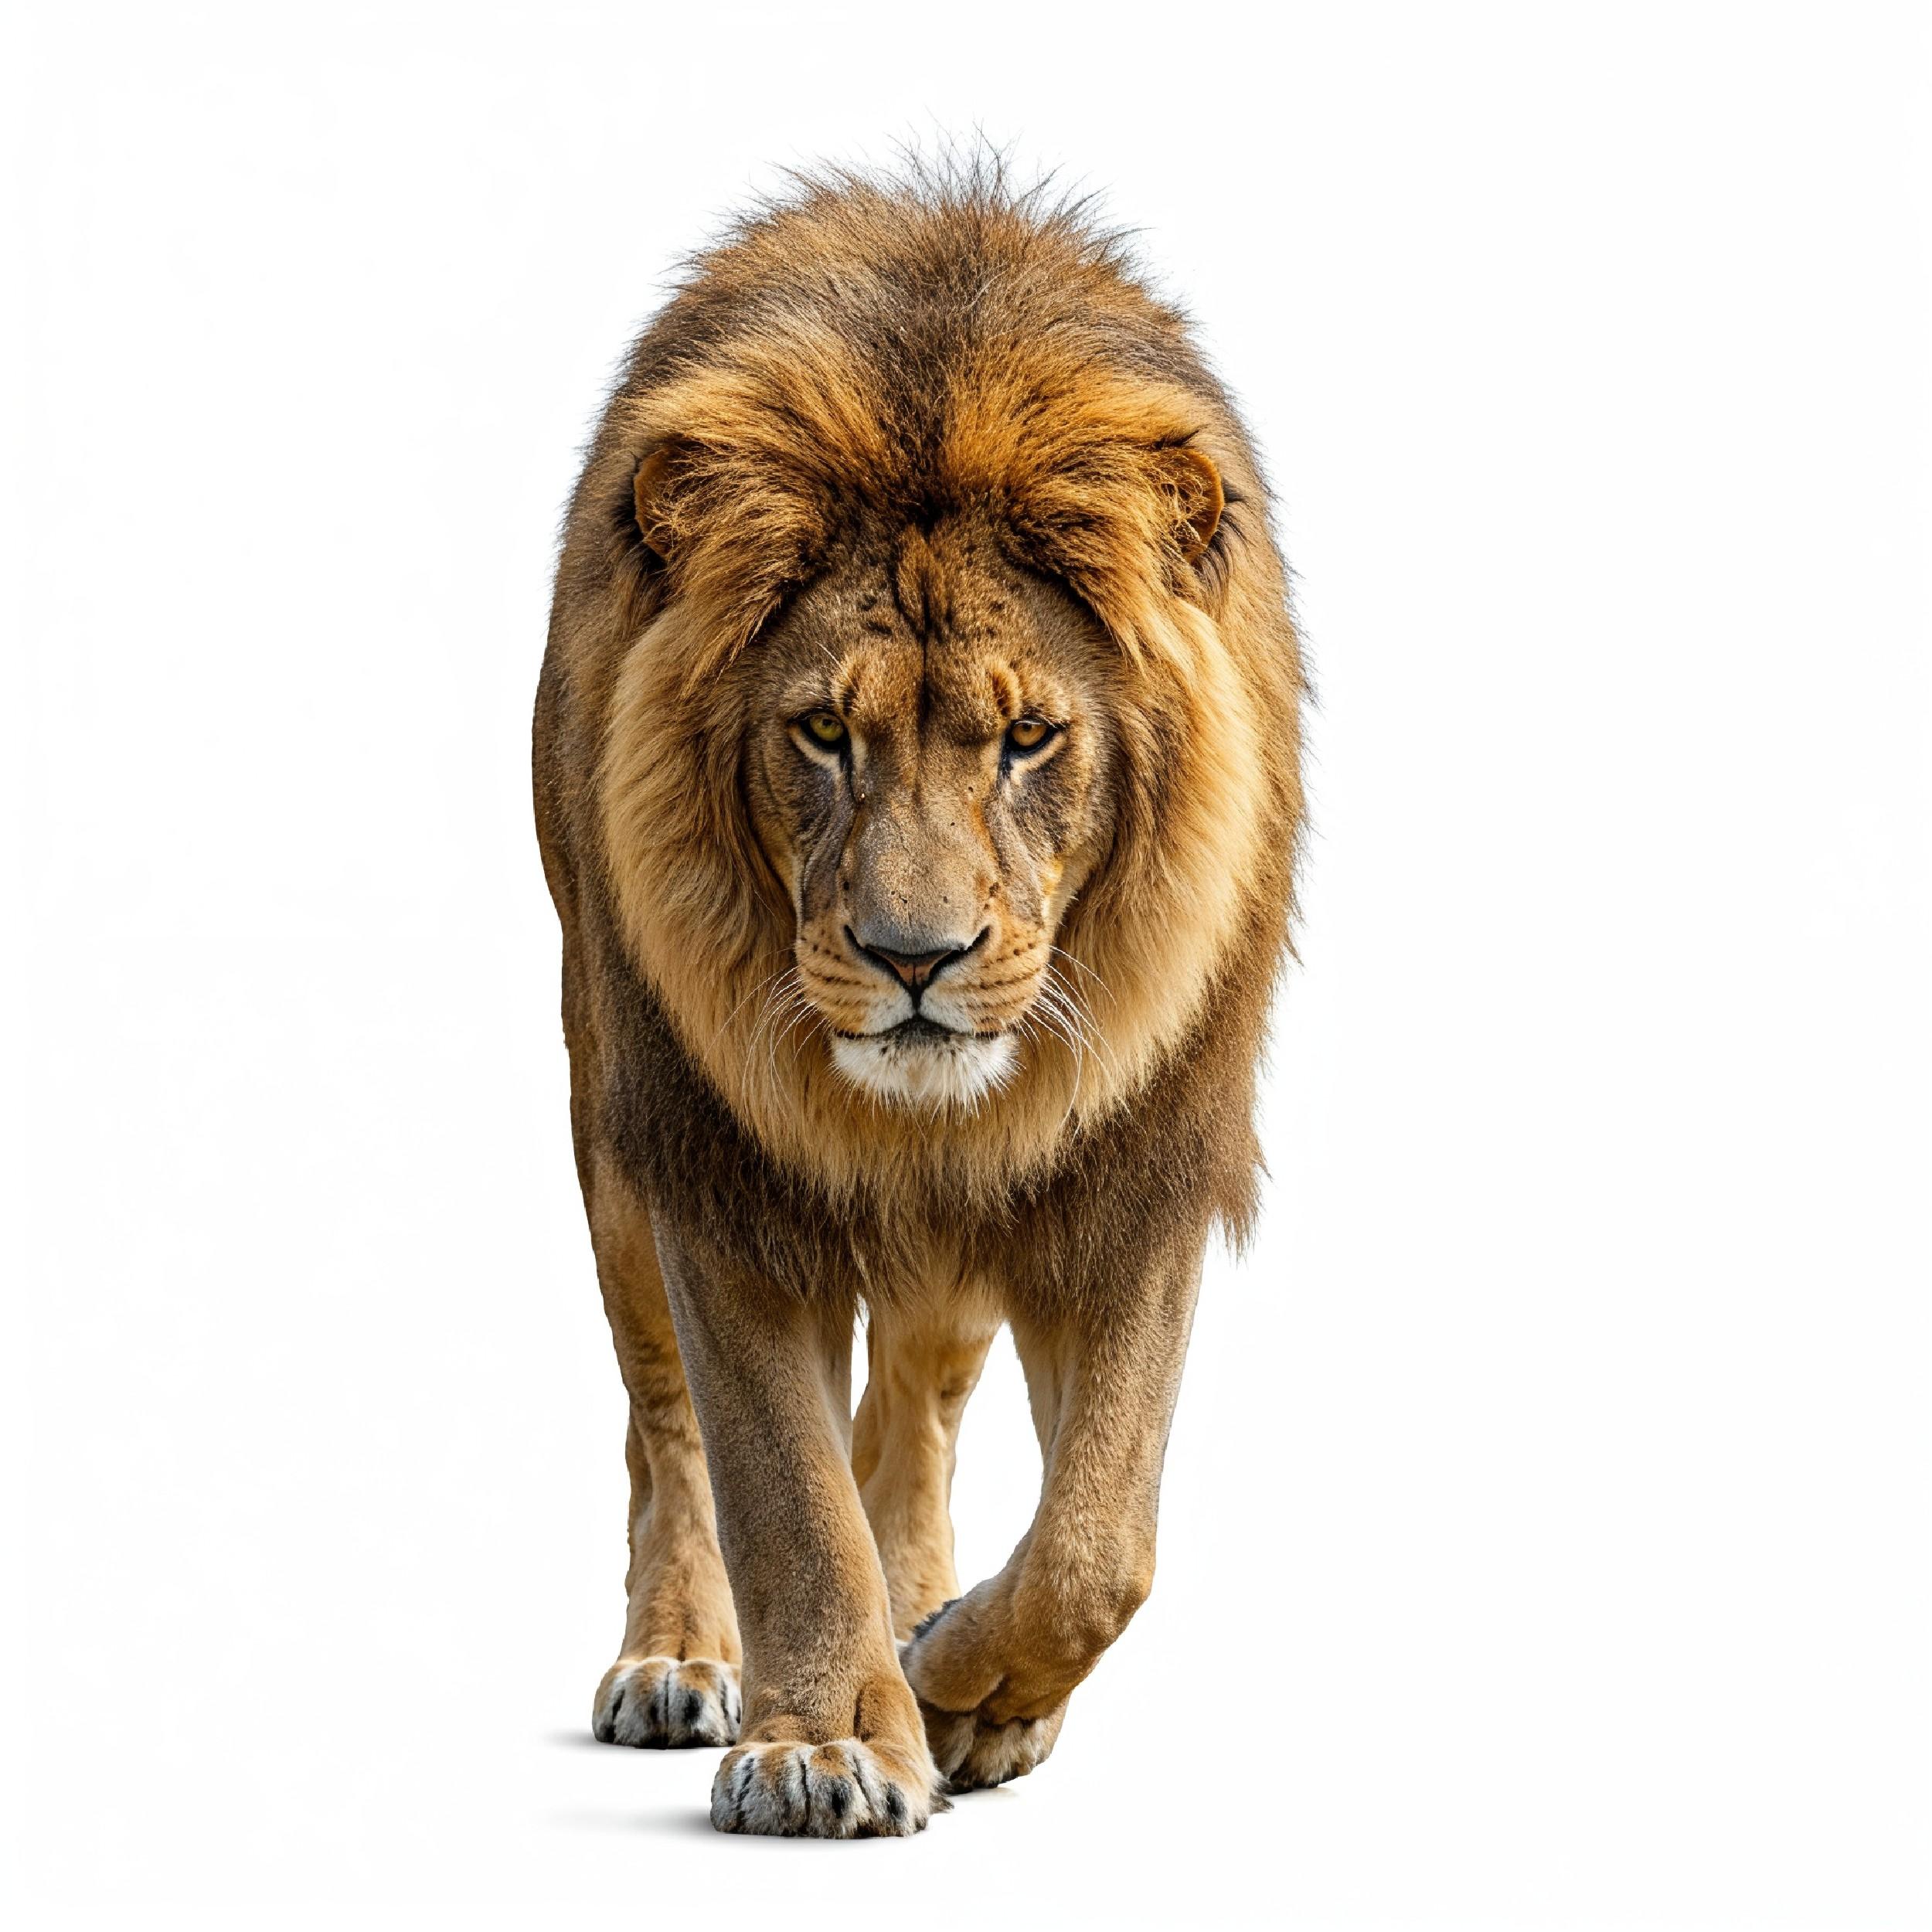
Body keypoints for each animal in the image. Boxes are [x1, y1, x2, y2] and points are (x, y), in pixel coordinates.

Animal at [533, 159, 1303, 1837]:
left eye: (1026, 738)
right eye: (823, 731)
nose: (911, 958)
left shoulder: (1134, 1162)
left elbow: (1097, 1542)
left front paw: (958, 1680)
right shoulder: (720, 1168)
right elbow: (779, 1484)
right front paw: (824, 1740)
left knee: (921, 1410)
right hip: (605, 1108)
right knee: (664, 1418)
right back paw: (680, 1658)